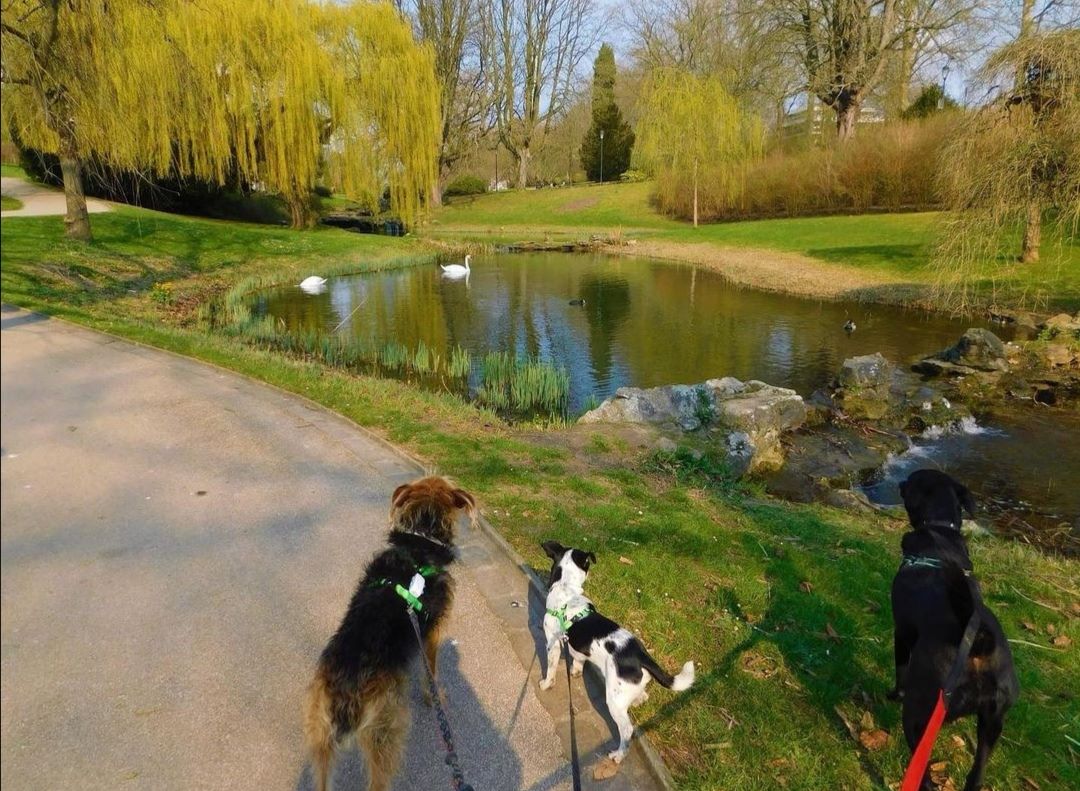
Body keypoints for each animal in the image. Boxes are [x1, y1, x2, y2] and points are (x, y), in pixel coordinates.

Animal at [535, 540, 695, 765]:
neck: (567, 590)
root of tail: (640, 655)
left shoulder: (553, 643)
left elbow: (550, 669)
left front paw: (546, 684)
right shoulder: (577, 650)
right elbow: (578, 660)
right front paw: (575, 672)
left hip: (614, 700)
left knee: (627, 730)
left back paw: (619, 755)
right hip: (629, 688)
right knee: (643, 696)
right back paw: (637, 701)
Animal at [889, 468, 1015, 791]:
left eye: (912, 479)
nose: (900, 482)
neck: (939, 535)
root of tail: (978, 647)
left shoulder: (901, 633)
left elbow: (900, 670)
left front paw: (893, 694)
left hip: (919, 715)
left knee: (924, 776)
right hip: (992, 723)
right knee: (977, 773)